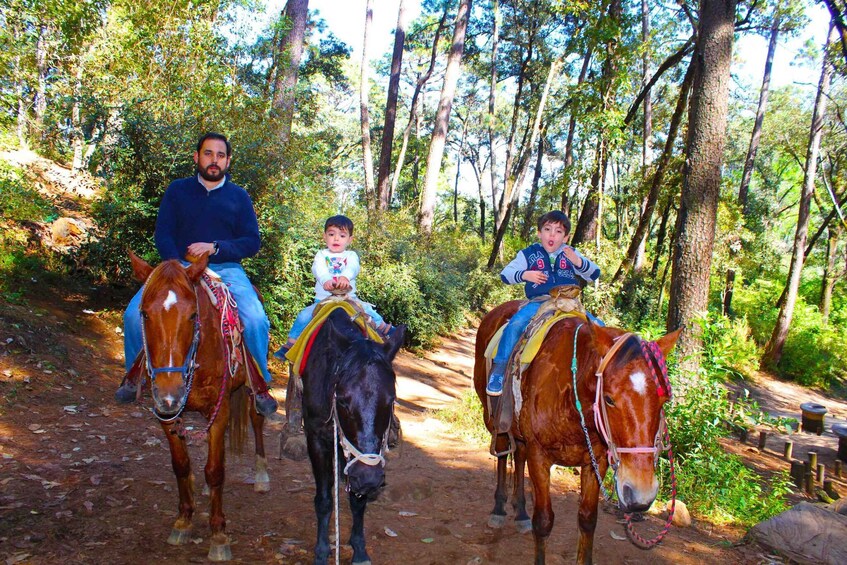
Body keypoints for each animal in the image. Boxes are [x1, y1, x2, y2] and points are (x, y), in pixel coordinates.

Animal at [129, 251, 270, 560]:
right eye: (144, 314)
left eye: (193, 315)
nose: (170, 393)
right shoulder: (167, 415)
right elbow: (181, 465)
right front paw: (183, 521)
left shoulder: (219, 410)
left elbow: (216, 470)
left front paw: (218, 536)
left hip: (250, 389)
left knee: (256, 419)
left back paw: (261, 475)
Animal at [302, 308, 408, 564]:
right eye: (342, 401)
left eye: (391, 401)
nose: (369, 478)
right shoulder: (316, 439)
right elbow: (324, 499)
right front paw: (321, 551)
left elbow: (358, 501)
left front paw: (359, 549)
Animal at [476, 298, 684, 560]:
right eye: (609, 399)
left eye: (664, 399)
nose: (640, 493)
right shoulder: (539, 455)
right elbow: (543, 521)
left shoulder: (596, 461)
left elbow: (587, 520)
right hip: (494, 418)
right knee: (504, 452)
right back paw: (499, 509)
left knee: (519, 455)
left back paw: (520, 511)